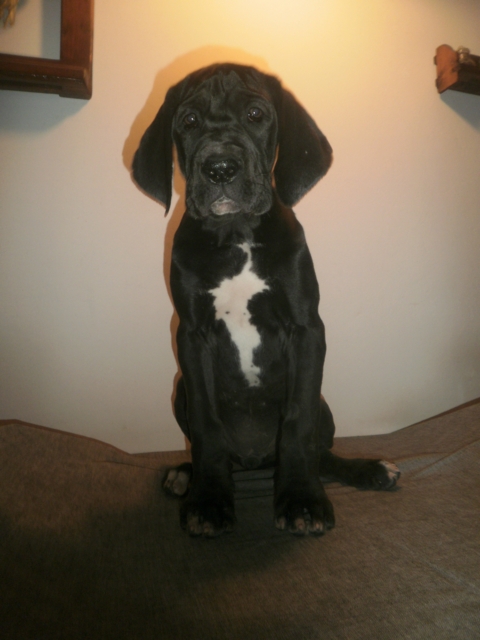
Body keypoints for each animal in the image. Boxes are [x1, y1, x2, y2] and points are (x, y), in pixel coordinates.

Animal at [133, 63, 400, 537]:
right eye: (189, 121)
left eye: (256, 114)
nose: (220, 167)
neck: (236, 234)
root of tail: (255, 462)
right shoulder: (192, 336)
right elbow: (207, 426)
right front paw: (208, 499)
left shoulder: (306, 329)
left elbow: (297, 422)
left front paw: (302, 500)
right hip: (180, 390)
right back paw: (184, 475)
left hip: (325, 405)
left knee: (322, 452)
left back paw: (370, 470)